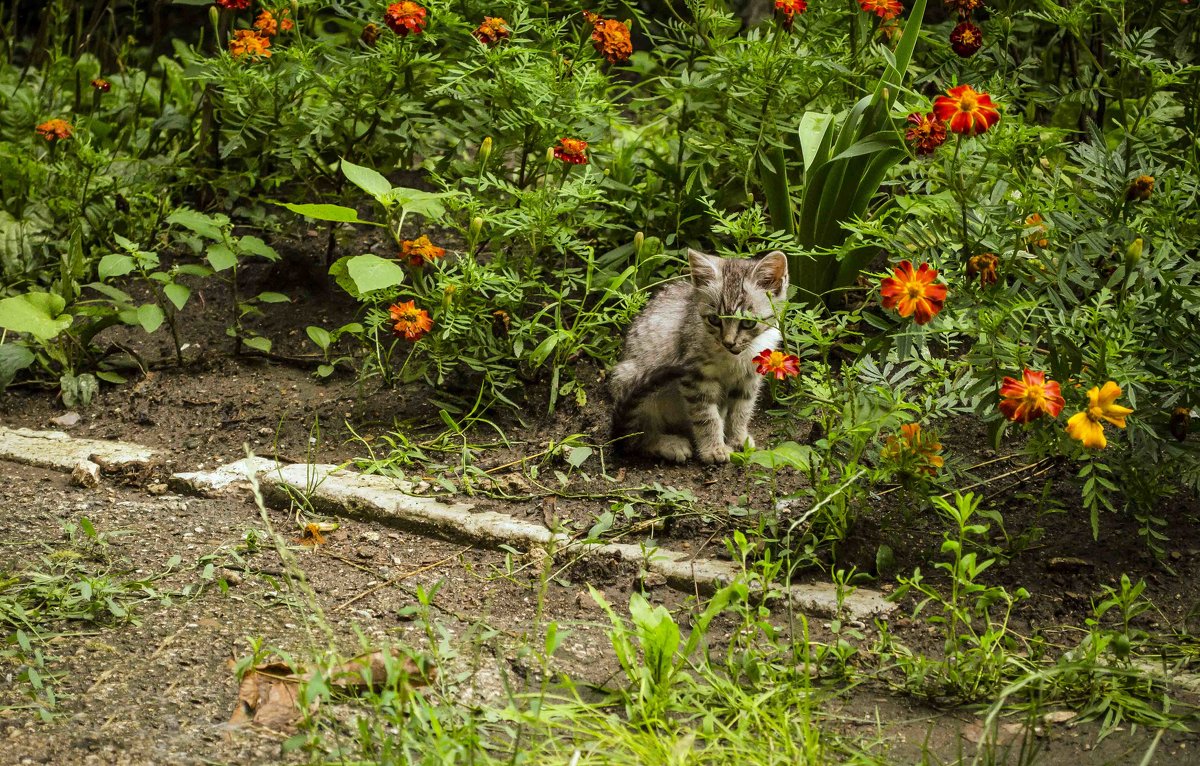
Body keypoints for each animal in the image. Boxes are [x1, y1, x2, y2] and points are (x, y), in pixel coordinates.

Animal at [609, 250, 787, 461]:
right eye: (714, 320)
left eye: (748, 323)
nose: (728, 342)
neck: (735, 357)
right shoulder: (695, 376)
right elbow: (705, 415)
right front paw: (714, 449)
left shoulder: (748, 377)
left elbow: (741, 410)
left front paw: (738, 438)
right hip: (633, 381)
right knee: (636, 439)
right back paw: (668, 444)